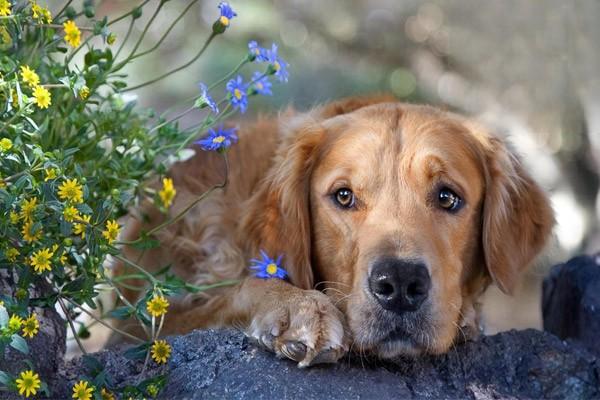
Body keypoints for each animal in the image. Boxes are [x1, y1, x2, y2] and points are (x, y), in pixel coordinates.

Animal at [115, 95, 556, 368]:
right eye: (344, 196)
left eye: (448, 197)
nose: (399, 283)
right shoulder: (139, 326)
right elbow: (238, 290)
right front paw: (297, 308)